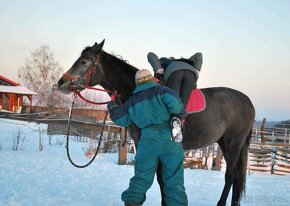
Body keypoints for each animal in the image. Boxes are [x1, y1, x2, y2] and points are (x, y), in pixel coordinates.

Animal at [57, 40, 256, 206]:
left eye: (84, 62)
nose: (61, 82)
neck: (138, 90)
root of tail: (248, 102)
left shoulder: (151, 145)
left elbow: (159, 177)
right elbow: (160, 179)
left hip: (233, 143)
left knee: (230, 175)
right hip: (224, 143)